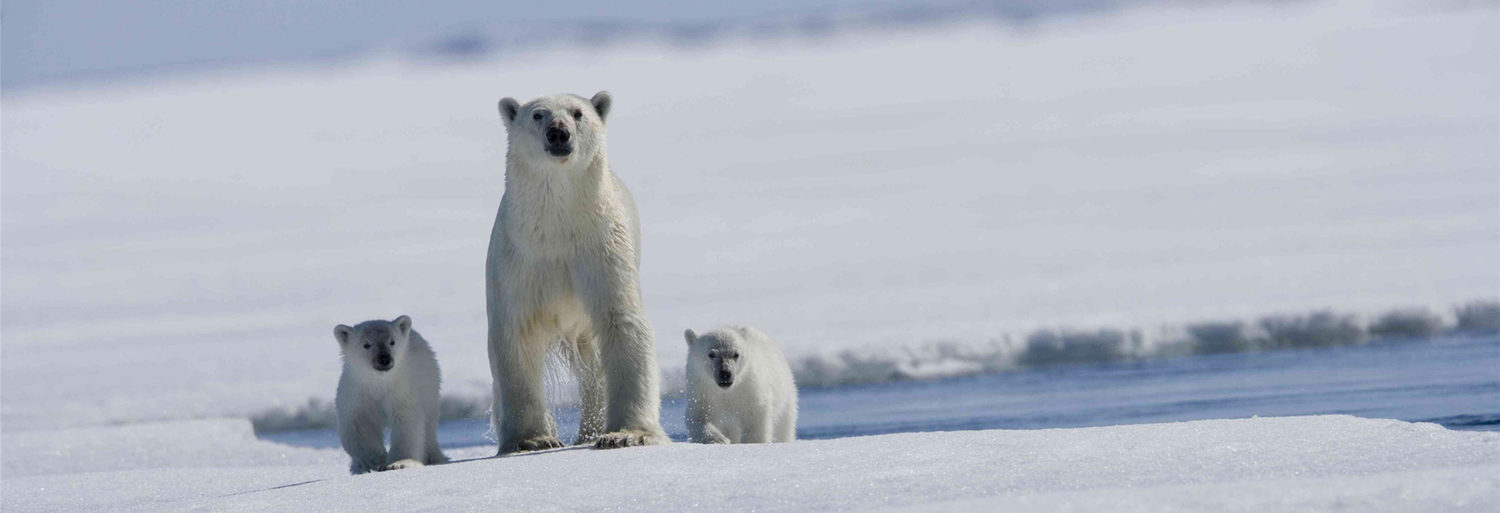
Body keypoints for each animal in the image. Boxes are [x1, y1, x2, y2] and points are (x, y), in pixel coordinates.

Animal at [340, 315, 450, 474]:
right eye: (366, 344)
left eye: (392, 342)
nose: (384, 359)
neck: (379, 383)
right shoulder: (356, 394)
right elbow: (358, 425)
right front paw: (375, 459)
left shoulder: (401, 390)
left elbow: (405, 421)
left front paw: (399, 463)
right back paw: (358, 468)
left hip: (429, 386)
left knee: (429, 426)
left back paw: (434, 457)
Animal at [486, 91, 669, 453]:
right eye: (538, 114)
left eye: (578, 113)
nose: (558, 132)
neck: (558, 227)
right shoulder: (519, 260)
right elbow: (516, 334)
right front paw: (532, 439)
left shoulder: (601, 248)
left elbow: (622, 322)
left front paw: (626, 434)